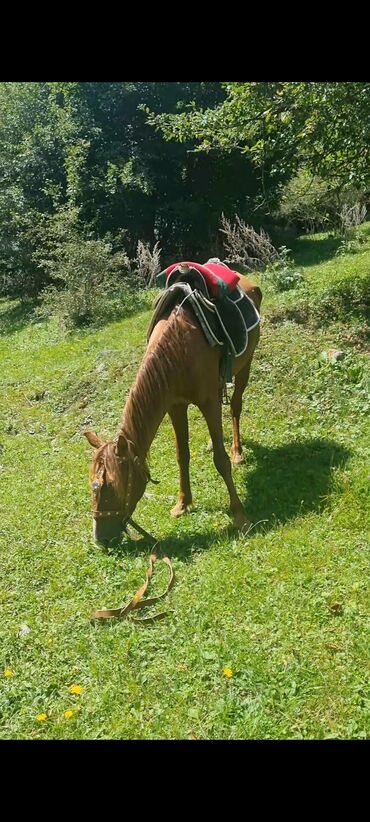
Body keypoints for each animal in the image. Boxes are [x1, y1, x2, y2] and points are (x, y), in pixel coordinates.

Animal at [85, 276, 262, 548]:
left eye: (111, 486)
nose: (100, 539)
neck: (178, 347)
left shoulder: (208, 402)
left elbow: (221, 461)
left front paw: (240, 515)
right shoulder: (175, 406)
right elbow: (182, 455)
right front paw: (182, 504)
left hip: (245, 366)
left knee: (235, 407)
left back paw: (238, 452)